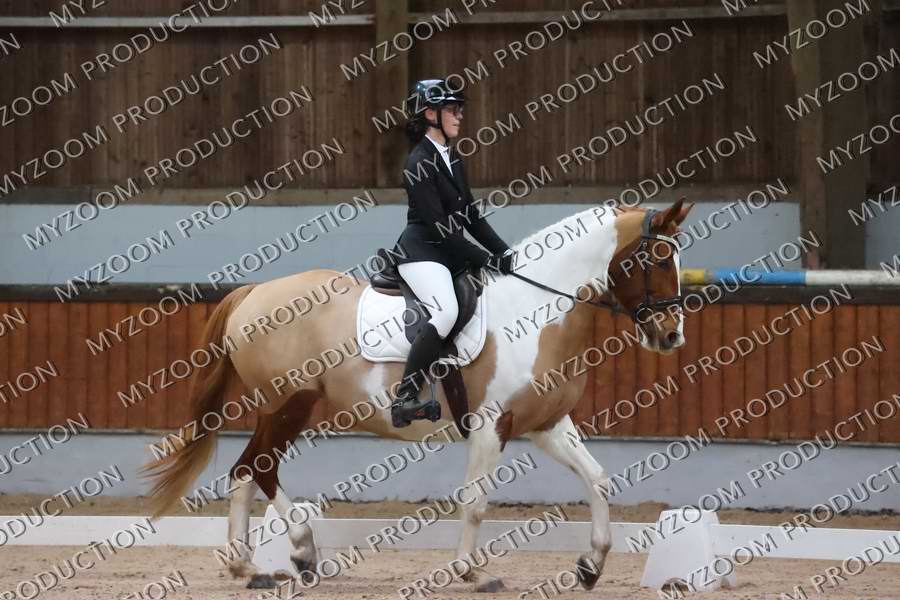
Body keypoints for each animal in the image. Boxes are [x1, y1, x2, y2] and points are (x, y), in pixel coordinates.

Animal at [143, 199, 694, 593]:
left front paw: (591, 565)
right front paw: (474, 572)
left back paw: (249, 567)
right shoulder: (491, 425)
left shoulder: (546, 425)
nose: (671, 335)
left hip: (277, 408)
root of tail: (254, 292)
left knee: (245, 469)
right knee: (260, 468)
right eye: (656, 258)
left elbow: (598, 480)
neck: (538, 311)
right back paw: (299, 551)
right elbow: (475, 502)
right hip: (289, 404)